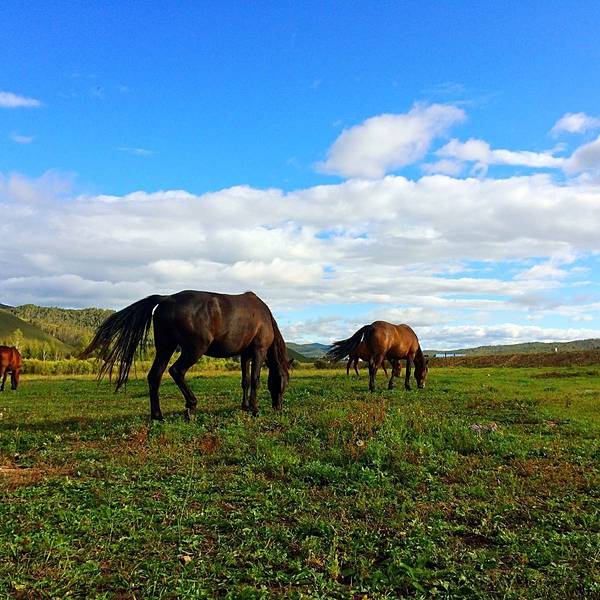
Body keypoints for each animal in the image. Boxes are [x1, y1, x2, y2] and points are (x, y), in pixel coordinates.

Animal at [80, 290, 292, 420]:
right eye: (284, 379)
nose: (279, 407)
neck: (264, 317)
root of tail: (167, 299)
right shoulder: (258, 351)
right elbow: (255, 380)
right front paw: (255, 409)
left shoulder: (245, 355)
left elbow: (245, 381)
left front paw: (245, 406)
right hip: (193, 350)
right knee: (176, 371)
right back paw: (191, 406)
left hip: (165, 348)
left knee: (155, 376)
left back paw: (157, 416)